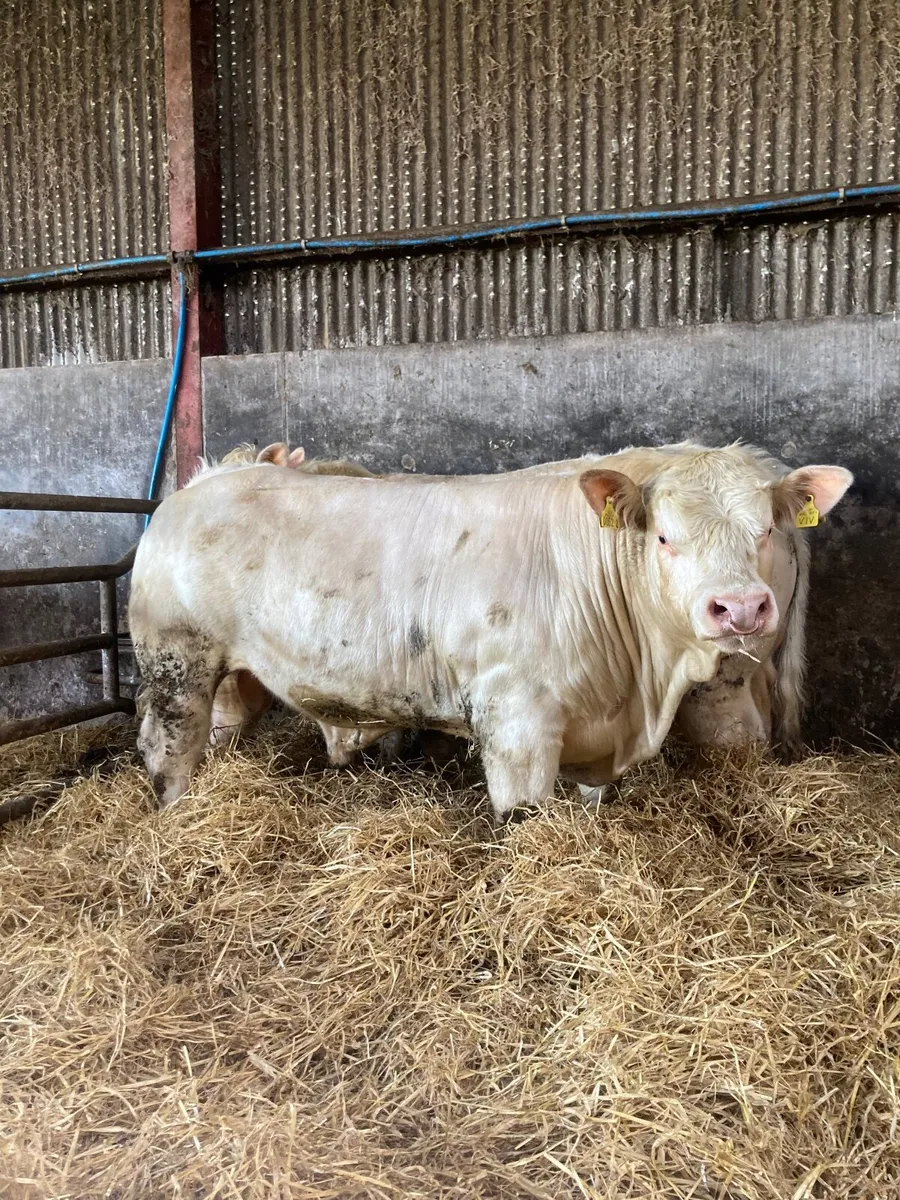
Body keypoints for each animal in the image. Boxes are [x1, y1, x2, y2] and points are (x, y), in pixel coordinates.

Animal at [129, 441, 851, 822]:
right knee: (168, 750)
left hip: (228, 677)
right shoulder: (517, 724)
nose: (740, 608)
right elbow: (523, 817)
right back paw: (172, 819)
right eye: (666, 537)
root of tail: (196, 486)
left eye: (764, 530)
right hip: (178, 662)